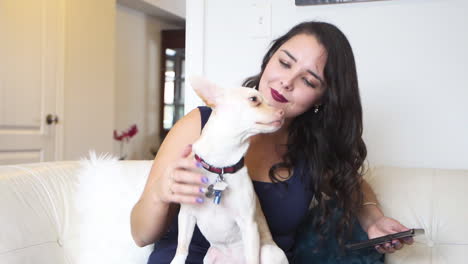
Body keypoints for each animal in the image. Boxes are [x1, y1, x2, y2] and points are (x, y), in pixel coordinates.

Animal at [171, 77, 288, 264]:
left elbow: (252, 259)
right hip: (209, 257)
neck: (220, 167)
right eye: (254, 99)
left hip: (269, 252)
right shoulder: (186, 215)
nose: (282, 112)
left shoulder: (248, 224)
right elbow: (182, 247)